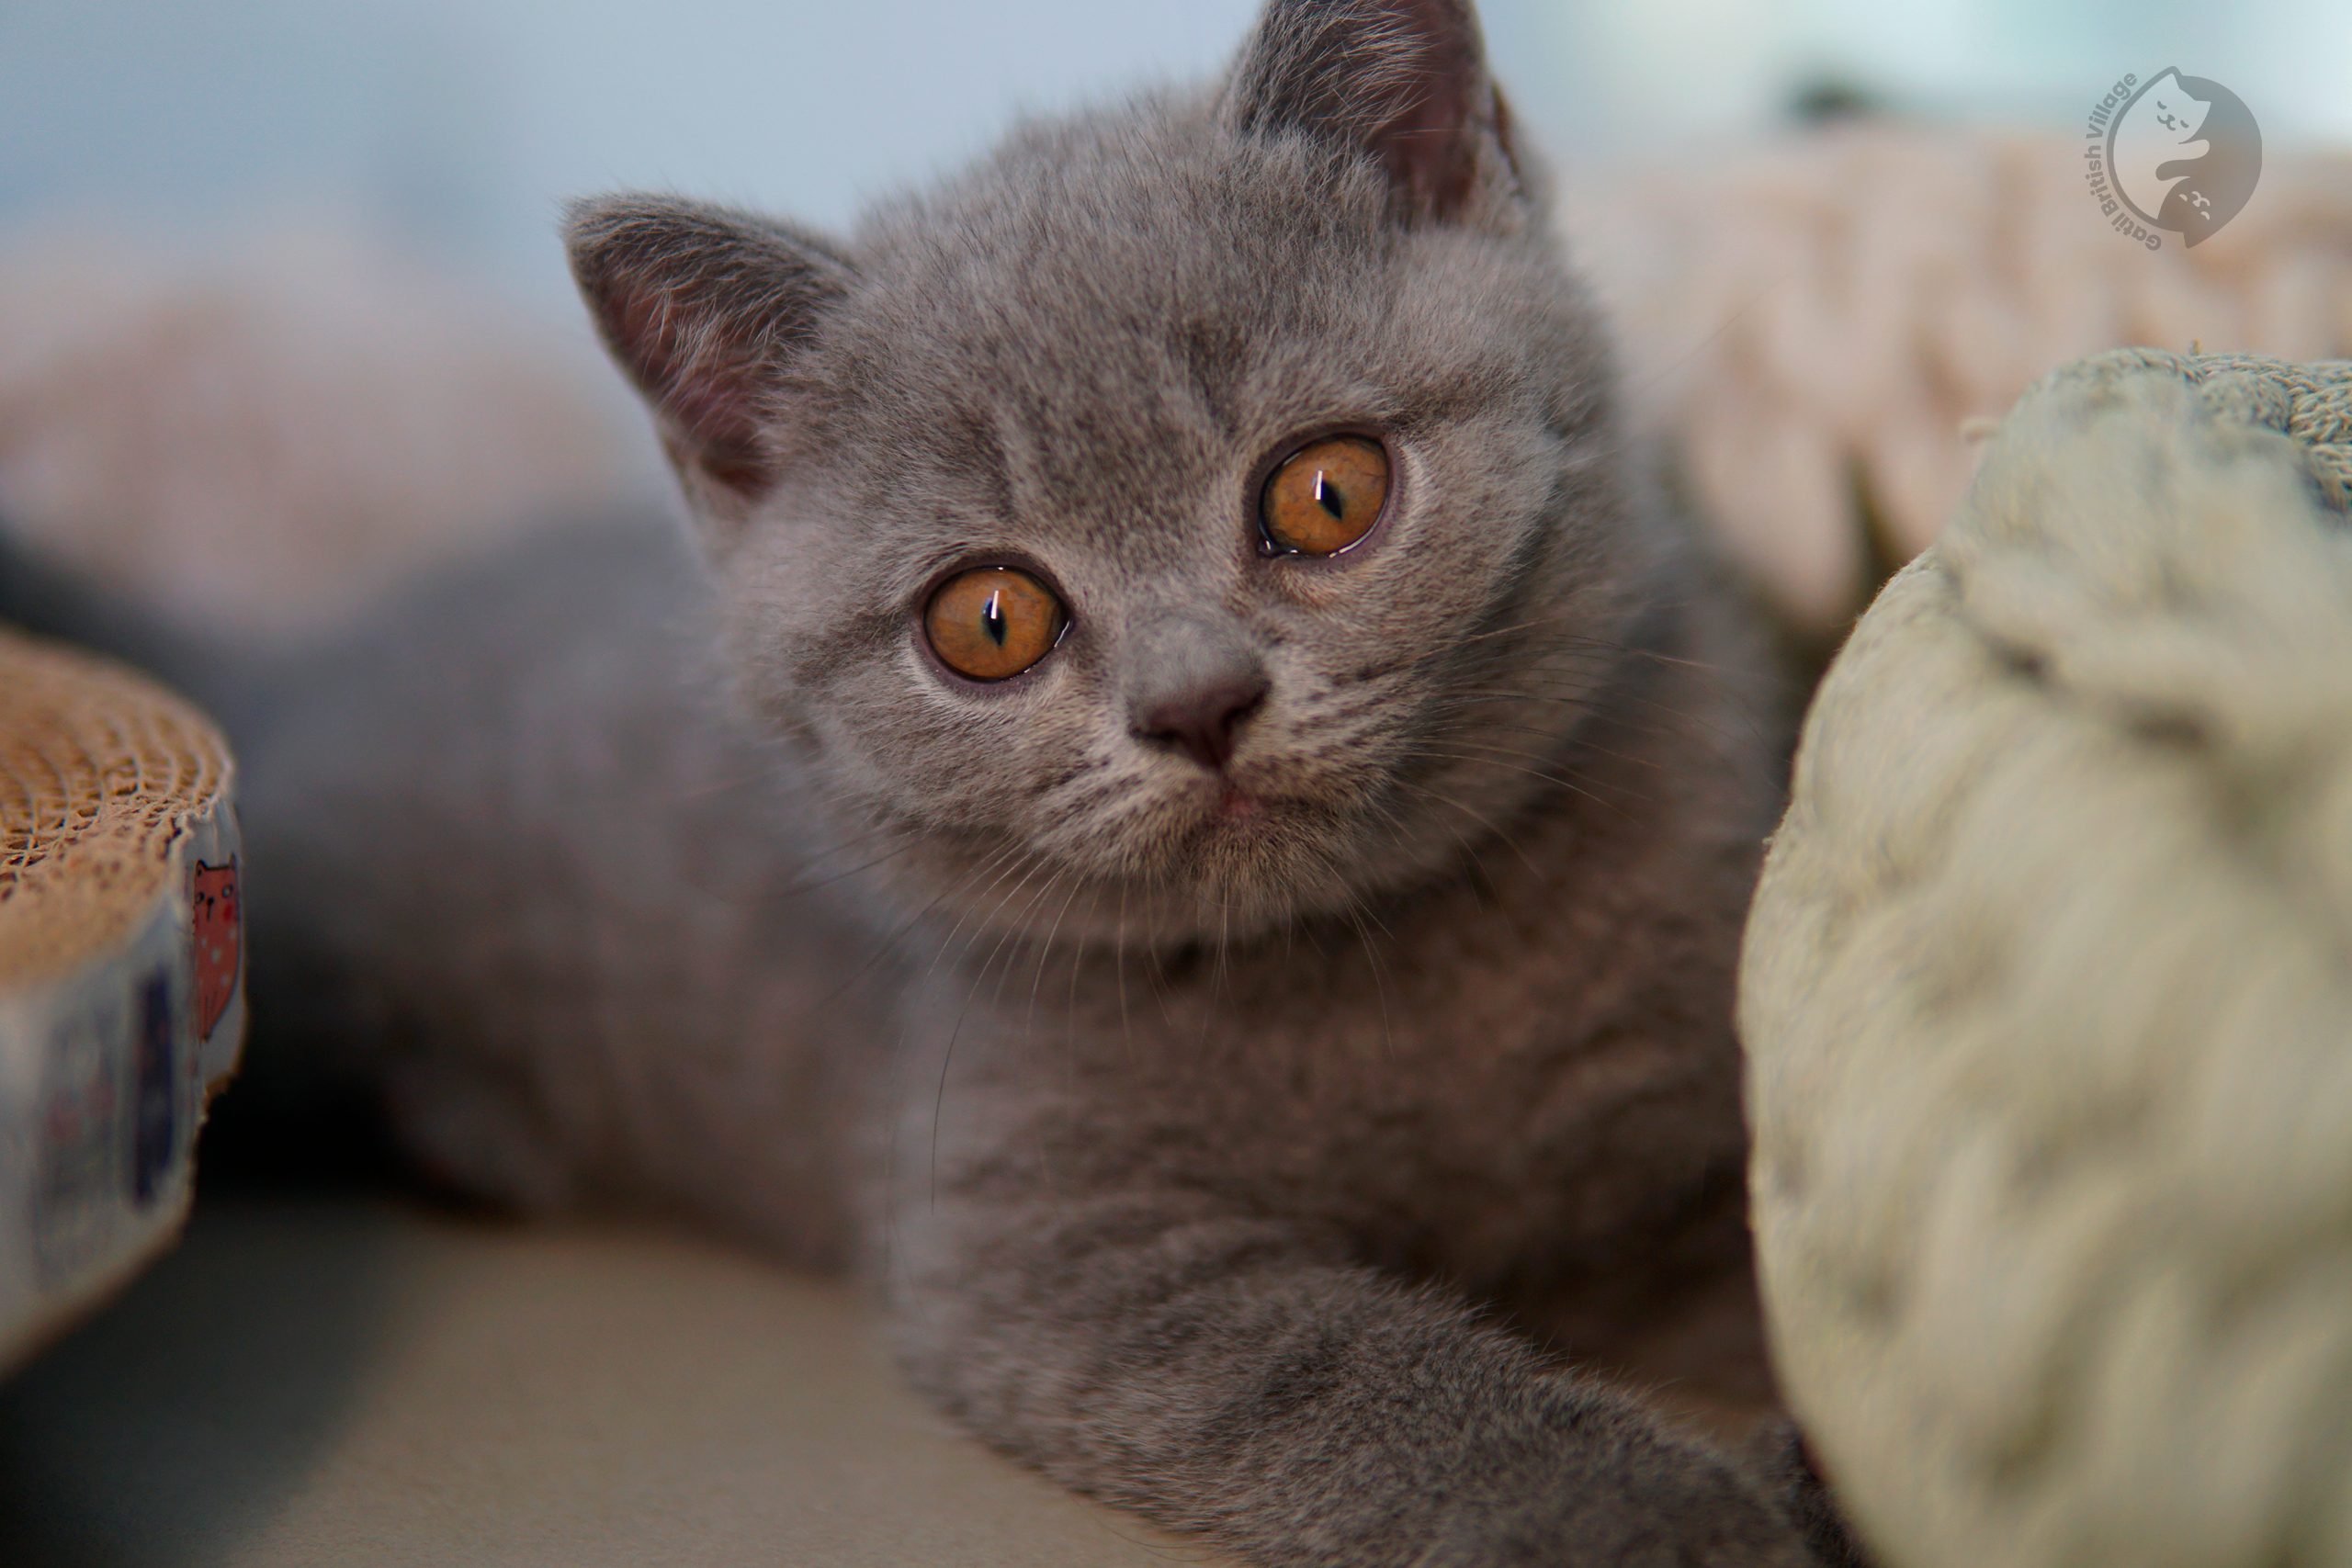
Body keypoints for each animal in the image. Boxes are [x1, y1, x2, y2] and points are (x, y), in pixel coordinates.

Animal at [68, 0, 1853, 1561]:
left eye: (1329, 493)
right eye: (991, 621)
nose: (1198, 702)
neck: (1387, 973)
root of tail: (297, 654)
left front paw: (1823, 1469)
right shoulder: (1036, 1242)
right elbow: (1363, 1378)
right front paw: (1668, 1511)